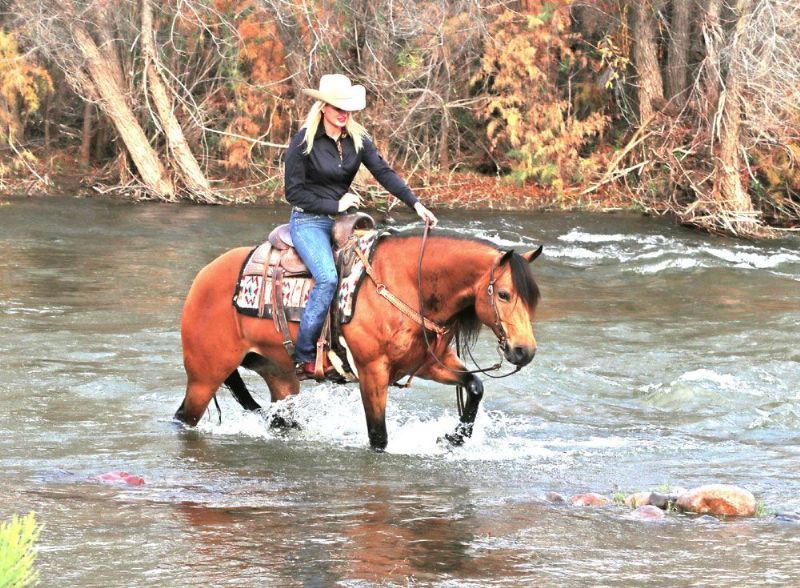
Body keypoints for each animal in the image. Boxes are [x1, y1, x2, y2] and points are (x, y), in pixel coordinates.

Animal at [174, 228, 542, 451]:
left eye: (532, 299)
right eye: (504, 294)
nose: (524, 351)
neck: (409, 286)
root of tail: (203, 276)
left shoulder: (426, 364)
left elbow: (475, 386)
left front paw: (454, 438)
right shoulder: (372, 371)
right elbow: (378, 436)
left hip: (280, 377)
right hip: (205, 375)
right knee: (183, 417)